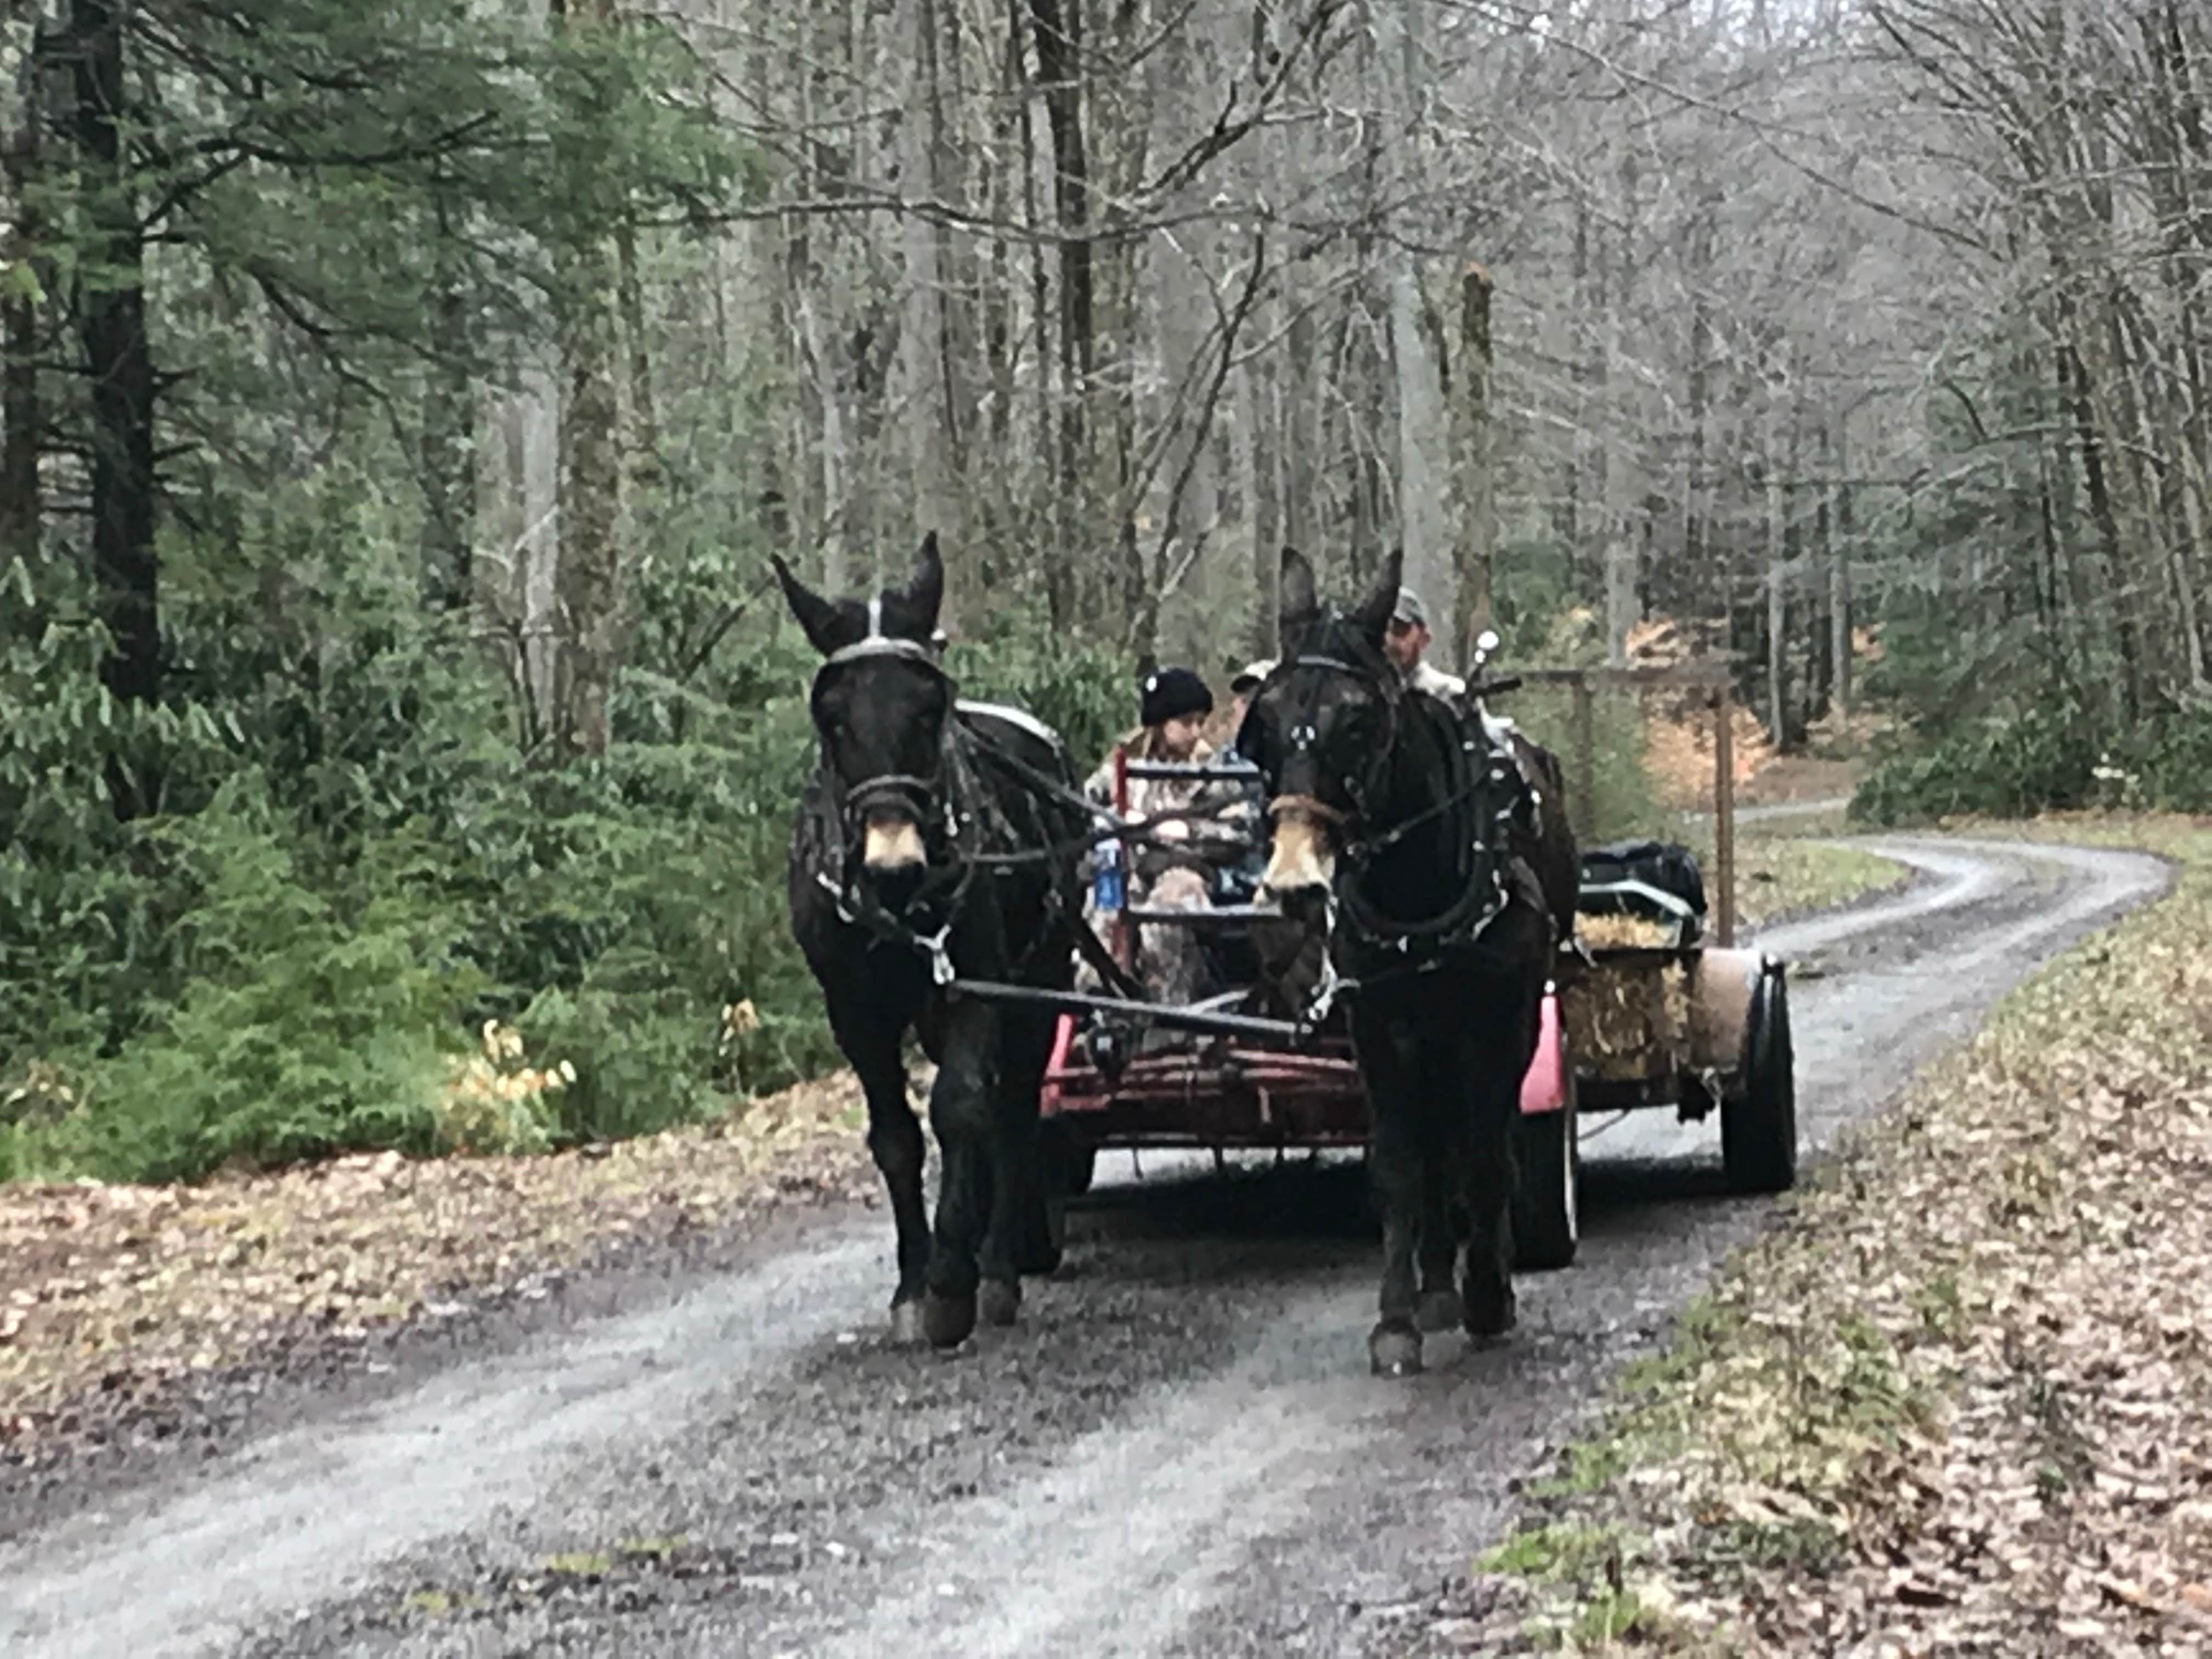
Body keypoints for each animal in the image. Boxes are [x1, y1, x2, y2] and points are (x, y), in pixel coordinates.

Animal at [775, 534, 1085, 1350]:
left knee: (1009, 1109)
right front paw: (915, 1282)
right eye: (831, 717)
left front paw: (952, 1281)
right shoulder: (853, 1011)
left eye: (928, 705)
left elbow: (961, 1109)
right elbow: (897, 1137)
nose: (892, 862)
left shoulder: (977, 984)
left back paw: (996, 1264)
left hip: (1039, 984)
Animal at [1236, 546, 1579, 1375]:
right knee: (1433, 1142)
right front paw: (1399, 1316)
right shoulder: (1379, 1020)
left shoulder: (1503, 1019)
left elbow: (1485, 1154)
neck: (1419, 878)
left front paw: (1488, 1294)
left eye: (1360, 720)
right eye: (1264, 721)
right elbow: (1401, 1160)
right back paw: (1435, 1285)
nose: (1295, 880)